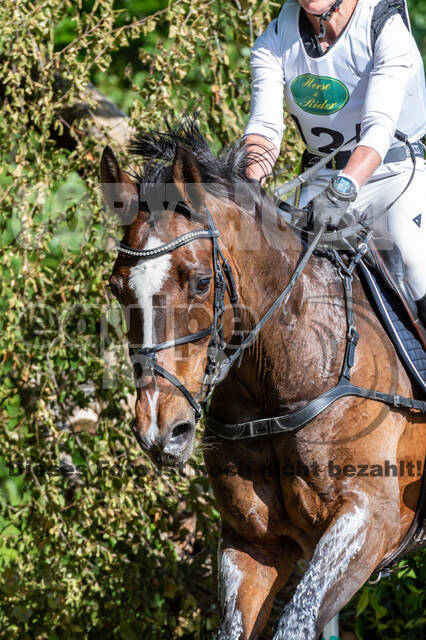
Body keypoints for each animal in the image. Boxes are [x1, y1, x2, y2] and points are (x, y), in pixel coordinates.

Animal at [100, 119, 425, 640]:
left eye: (201, 282)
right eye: (116, 286)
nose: (160, 431)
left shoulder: (369, 519)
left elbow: (295, 622)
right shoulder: (253, 543)